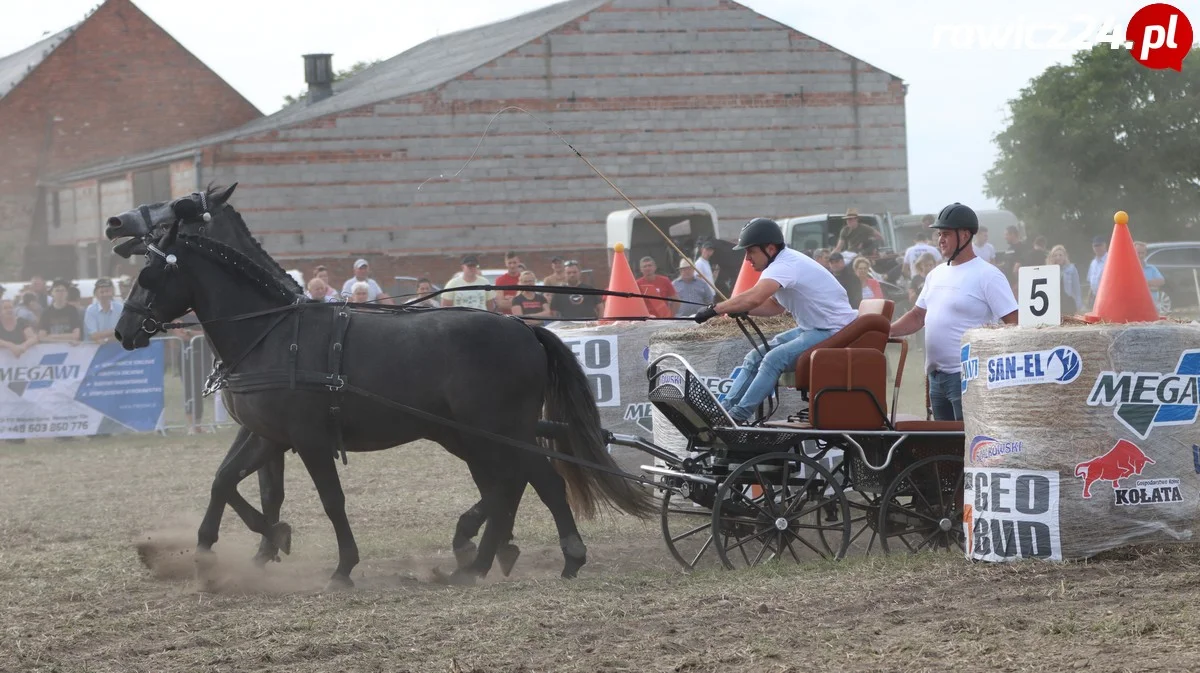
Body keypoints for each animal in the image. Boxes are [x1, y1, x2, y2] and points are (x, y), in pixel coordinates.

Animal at [110, 184, 657, 587]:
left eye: (152, 274)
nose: (123, 331)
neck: (274, 331)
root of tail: (522, 328)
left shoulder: (307, 439)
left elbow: (328, 500)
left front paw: (340, 566)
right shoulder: (268, 434)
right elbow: (229, 482)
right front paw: (219, 550)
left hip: (494, 429)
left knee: (522, 480)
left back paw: (505, 559)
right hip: (480, 433)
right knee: (523, 481)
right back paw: (510, 559)